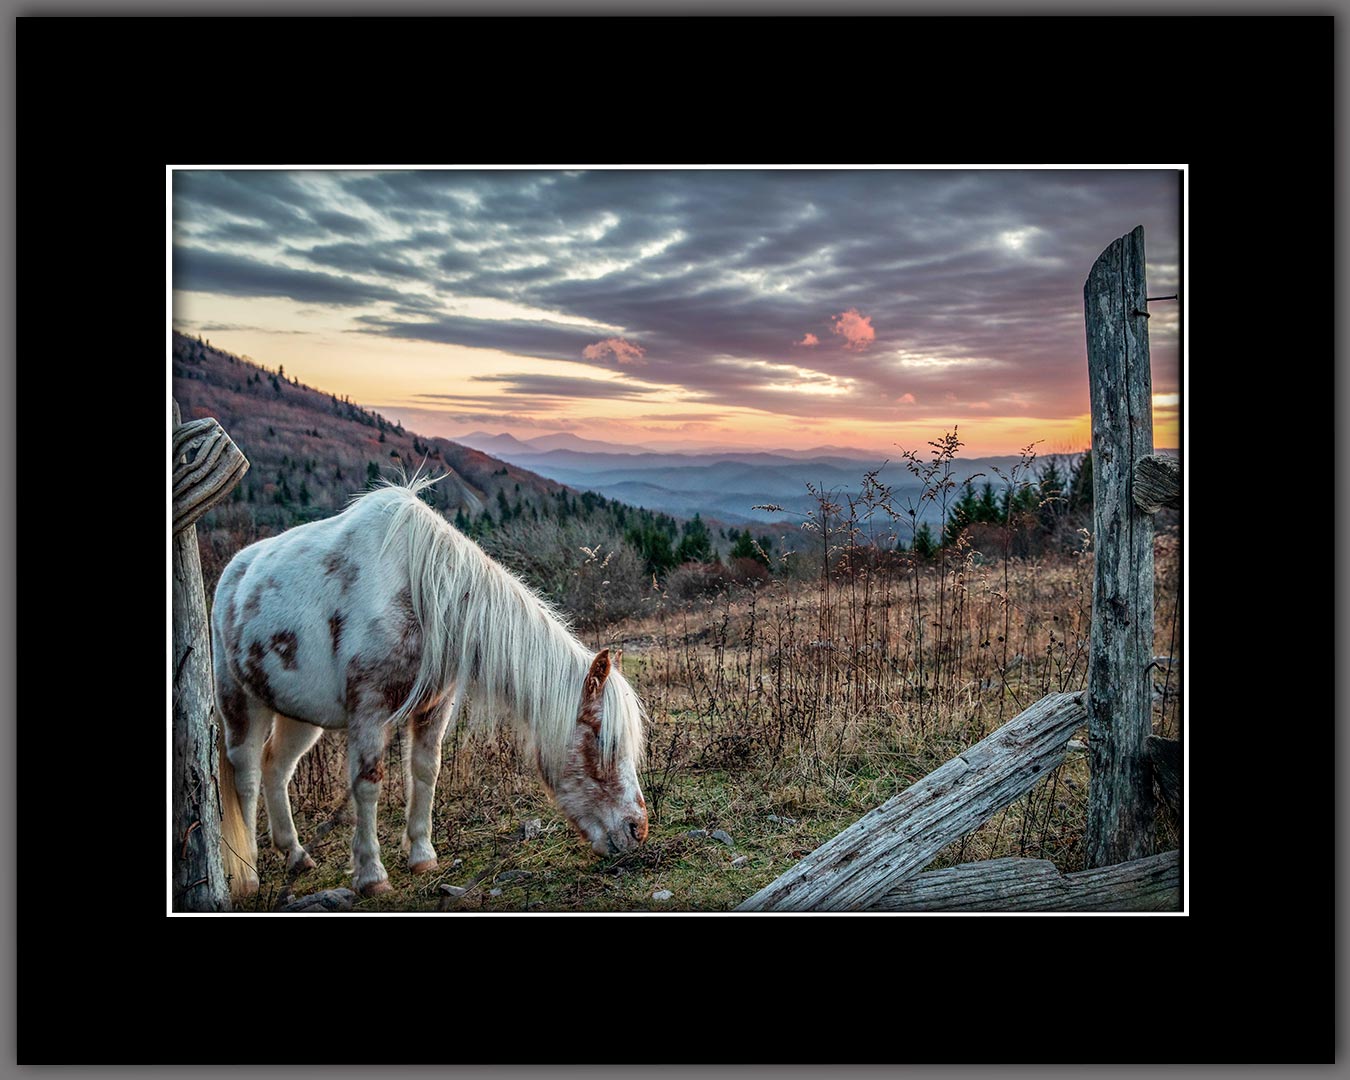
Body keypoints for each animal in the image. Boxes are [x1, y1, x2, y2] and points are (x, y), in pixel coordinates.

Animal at [210, 477, 648, 896]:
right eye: (601, 739)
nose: (637, 830)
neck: (422, 595)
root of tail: (231, 573)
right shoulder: (368, 710)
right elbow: (368, 784)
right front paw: (371, 875)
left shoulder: (434, 706)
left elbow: (426, 771)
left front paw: (422, 856)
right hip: (240, 702)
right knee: (247, 776)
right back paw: (248, 877)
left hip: (299, 715)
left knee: (277, 768)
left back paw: (296, 855)